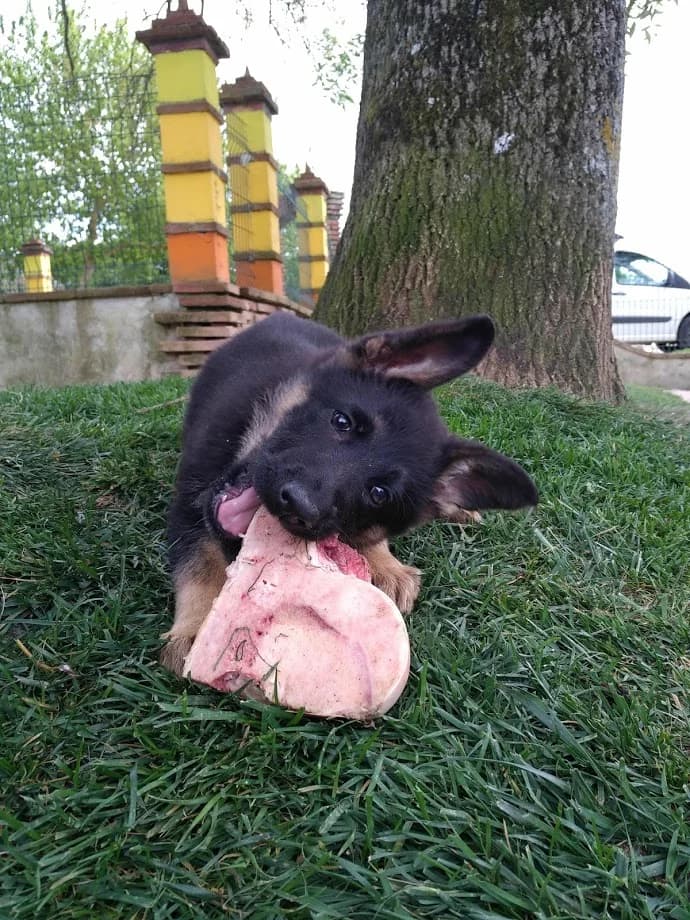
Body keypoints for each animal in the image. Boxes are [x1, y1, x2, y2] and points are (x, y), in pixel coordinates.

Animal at [163, 312, 536, 672]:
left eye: (379, 493)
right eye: (341, 421)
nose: (298, 504)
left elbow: (369, 536)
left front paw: (386, 564)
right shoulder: (190, 501)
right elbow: (202, 563)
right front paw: (197, 629)